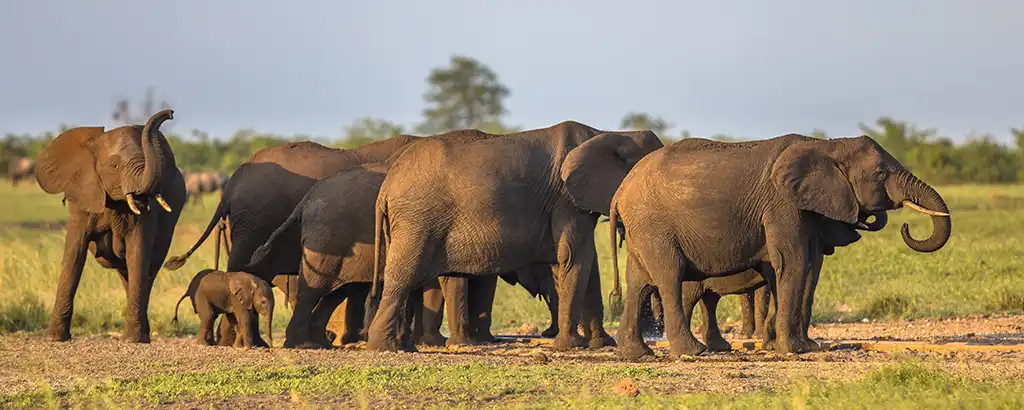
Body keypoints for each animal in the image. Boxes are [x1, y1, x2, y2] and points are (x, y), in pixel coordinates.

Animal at [35, 109, 186, 343]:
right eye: (115, 166)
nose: (170, 113)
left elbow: (138, 252)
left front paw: (133, 341)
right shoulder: (81, 199)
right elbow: (74, 255)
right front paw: (54, 339)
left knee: (148, 269)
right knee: (127, 273)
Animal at [366, 121, 664, 353]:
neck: (611, 133)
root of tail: (386, 187)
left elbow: (587, 264)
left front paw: (601, 344)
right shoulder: (565, 199)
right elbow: (575, 257)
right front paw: (571, 346)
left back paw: (403, 346)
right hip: (417, 221)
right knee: (403, 275)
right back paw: (386, 348)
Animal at [609, 133, 950, 358]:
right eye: (880, 174)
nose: (905, 225)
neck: (827, 144)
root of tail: (620, 191)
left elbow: (800, 267)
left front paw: (799, 346)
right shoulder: (783, 205)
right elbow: (793, 262)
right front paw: (793, 350)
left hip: (642, 228)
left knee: (639, 282)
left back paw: (638, 354)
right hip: (654, 226)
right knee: (669, 276)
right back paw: (693, 352)